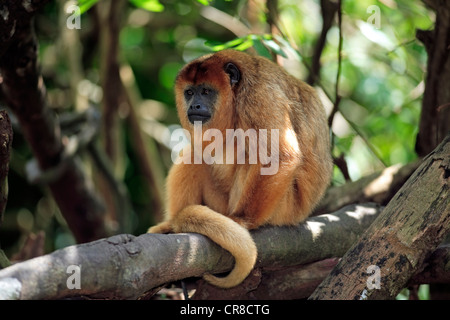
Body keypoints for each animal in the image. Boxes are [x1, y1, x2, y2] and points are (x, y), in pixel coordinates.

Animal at [149, 49, 334, 288]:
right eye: (189, 93)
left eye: (206, 91)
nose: (194, 106)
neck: (235, 95)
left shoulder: (260, 97)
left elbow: (278, 155)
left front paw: (242, 220)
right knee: (196, 155)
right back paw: (172, 226)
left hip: (283, 208)